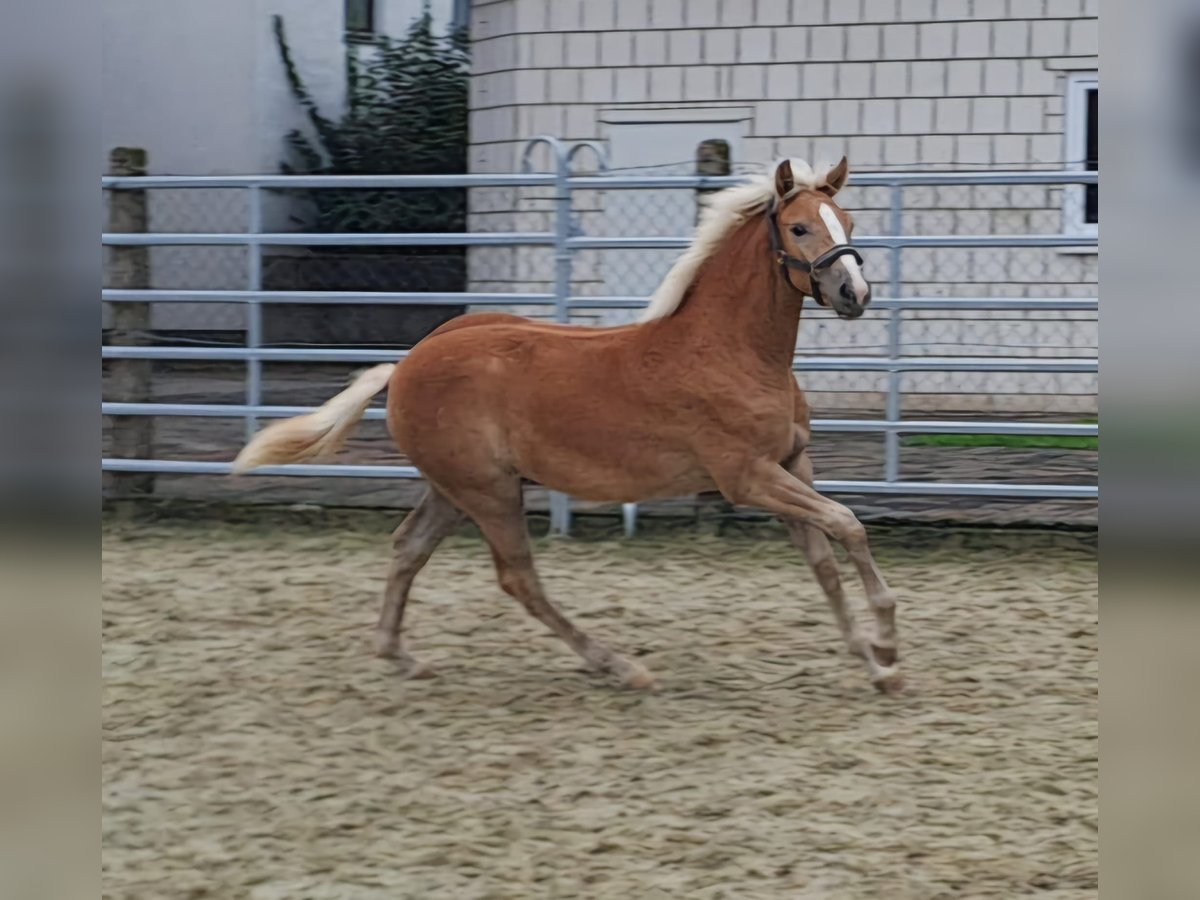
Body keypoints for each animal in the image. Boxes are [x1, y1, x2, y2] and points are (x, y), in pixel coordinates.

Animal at [236, 160, 902, 696]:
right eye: (799, 228)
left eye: (847, 219)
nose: (855, 292)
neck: (730, 351)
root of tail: (405, 365)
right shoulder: (747, 478)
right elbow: (849, 524)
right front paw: (888, 645)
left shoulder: (791, 467)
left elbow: (825, 560)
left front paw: (874, 665)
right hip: (488, 491)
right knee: (518, 579)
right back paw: (619, 666)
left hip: (454, 490)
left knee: (408, 549)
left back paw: (400, 655)